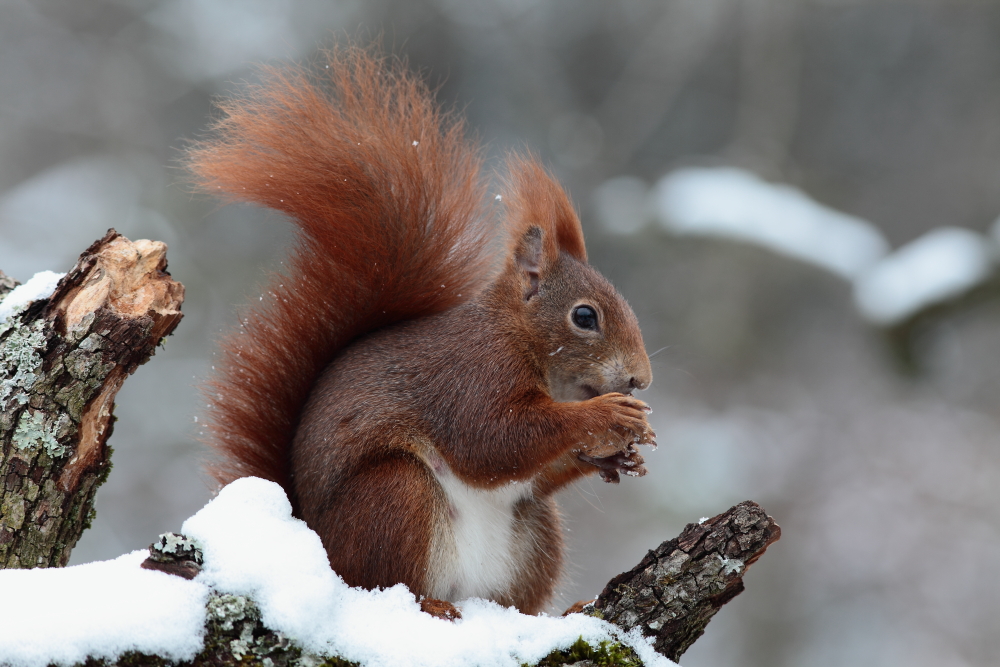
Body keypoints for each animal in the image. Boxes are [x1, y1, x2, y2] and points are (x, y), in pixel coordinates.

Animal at [188, 47, 656, 616]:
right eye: (585, 317)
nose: (641, 379)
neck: (519, 336)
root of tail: (315, 540)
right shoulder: (474, 373)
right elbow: (493, 441)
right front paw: (605, 417)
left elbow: (535, 469)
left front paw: (621, 452)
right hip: (395, 497)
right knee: (383, 582)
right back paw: (431, 606)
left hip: (534, 532)